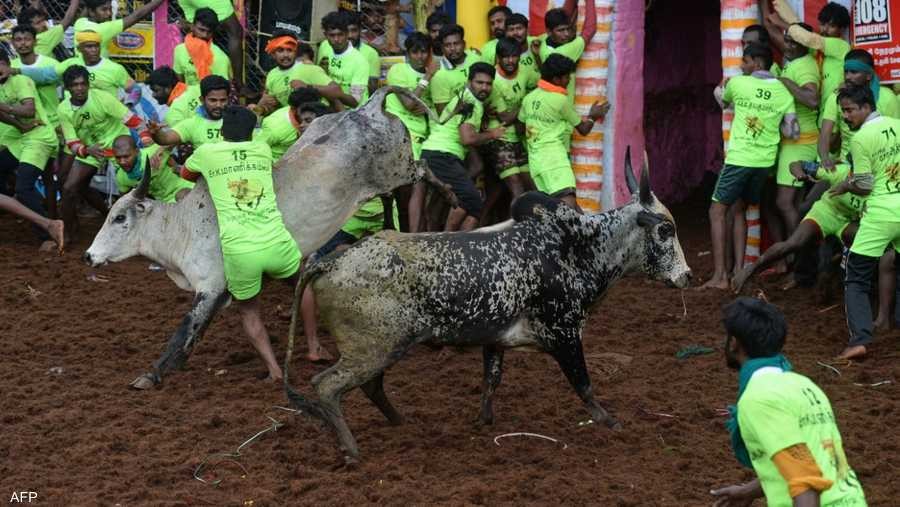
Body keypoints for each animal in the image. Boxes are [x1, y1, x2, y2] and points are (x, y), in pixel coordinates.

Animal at [82, 86, 458, 388]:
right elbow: (198, 331)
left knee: (424, 170)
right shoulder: (227, 291)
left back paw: (450, 195)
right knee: (391, 196)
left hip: (400, 169)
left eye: (119, 218)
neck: (182, 226)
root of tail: (368, 108)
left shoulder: (209, 286)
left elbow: (185, 329)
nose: (88, 256)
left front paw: (152, 374)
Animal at [284, 149, 692, 462]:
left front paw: (483, 421)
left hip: (381, 348)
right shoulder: (565, 334)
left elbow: (491, 380)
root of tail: (330, 261)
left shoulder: (495, 340)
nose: (686, 275)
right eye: (665, 230)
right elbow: (584, 384)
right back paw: (352, 450)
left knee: (369, 387)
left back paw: (400, 424)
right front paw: (611, 423)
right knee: (326, 386)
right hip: (372, 349)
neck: (577, 246)